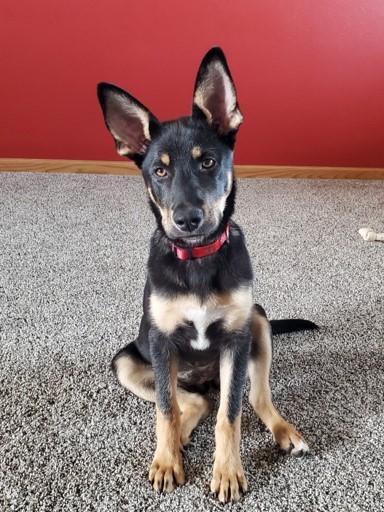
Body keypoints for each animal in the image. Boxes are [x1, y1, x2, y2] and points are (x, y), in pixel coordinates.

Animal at [96, 46, 316, 502]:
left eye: (208, 162)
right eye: (159, 171)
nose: (187, 220)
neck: (197, 258)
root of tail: (203, 379)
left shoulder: (235, 340)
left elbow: (229, 416)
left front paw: (228, 471)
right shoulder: (161, 342)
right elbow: (165, 409)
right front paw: (166, 461)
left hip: (257, 323)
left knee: (252, 398)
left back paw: (284, 430)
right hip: (129, 362)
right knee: (190, 402)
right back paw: (179, 438)